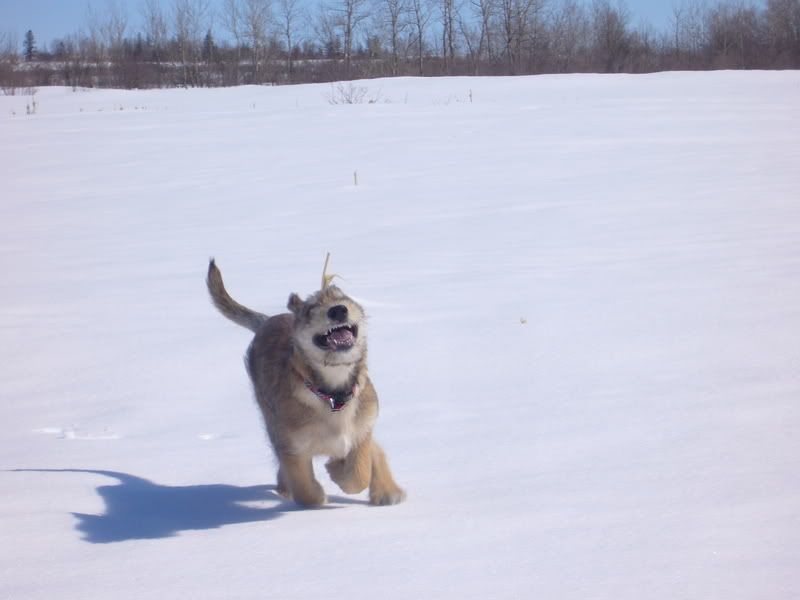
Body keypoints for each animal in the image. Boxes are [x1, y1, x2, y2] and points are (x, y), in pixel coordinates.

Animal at [206, 258, 406, 506]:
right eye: (311, 309)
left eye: (343, 299)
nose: (338, 310)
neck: (332, 395)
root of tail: (268, 320)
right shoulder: (292, 446)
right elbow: (305, 490)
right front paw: (320, 491)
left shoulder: (362, 431)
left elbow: (359, 473)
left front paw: (338, 469)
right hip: (271, 422)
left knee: (375, 452)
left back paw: (388, 491)